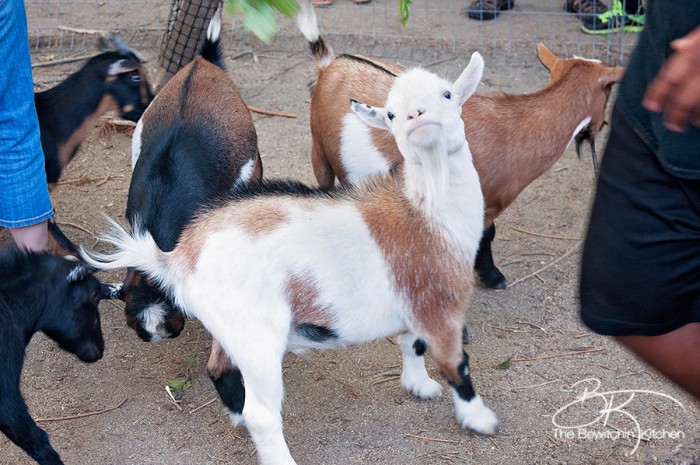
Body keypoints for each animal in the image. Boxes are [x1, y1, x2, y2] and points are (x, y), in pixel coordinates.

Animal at [82, 50, 498, 464]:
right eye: (392, 114)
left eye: (447, 94)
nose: (416, 116)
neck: (424, 211)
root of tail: (180, 256)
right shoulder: (442, 306)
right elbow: (456, 364)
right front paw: (479, 419)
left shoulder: (415, 300)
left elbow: (412, 343)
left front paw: (419, 385)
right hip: (258, 339)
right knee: (262, 414)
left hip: (232, 328)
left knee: (220, 370)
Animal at [298, 0, 628, 288]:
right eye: (609, 93)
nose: (600, 127)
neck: (514, 128)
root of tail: (329, 65)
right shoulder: (483, 203)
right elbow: (484, 236)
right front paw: (492, 277)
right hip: (320, 154)